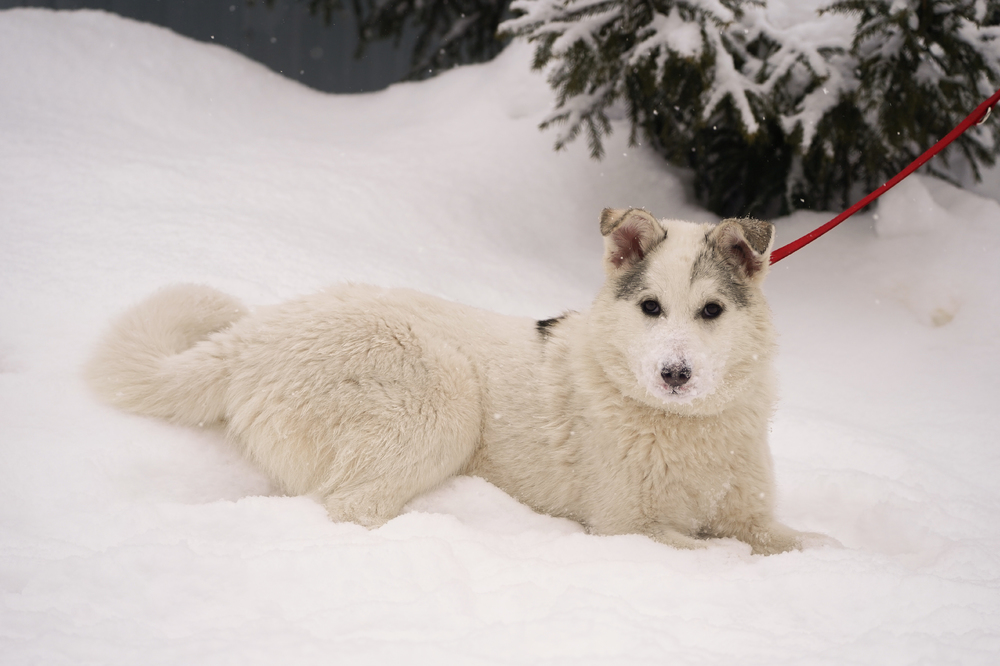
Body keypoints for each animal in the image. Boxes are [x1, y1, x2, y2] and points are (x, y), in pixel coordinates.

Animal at [85, 208, 823, 554]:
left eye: (711, 311)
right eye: (650, 308)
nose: (674, 373)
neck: (684, 426)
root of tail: (253, 335)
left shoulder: (754, 518)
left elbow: (801, 542)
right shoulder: (626, 529)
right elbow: (718, 554)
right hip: (446, 401)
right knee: (348, 508)